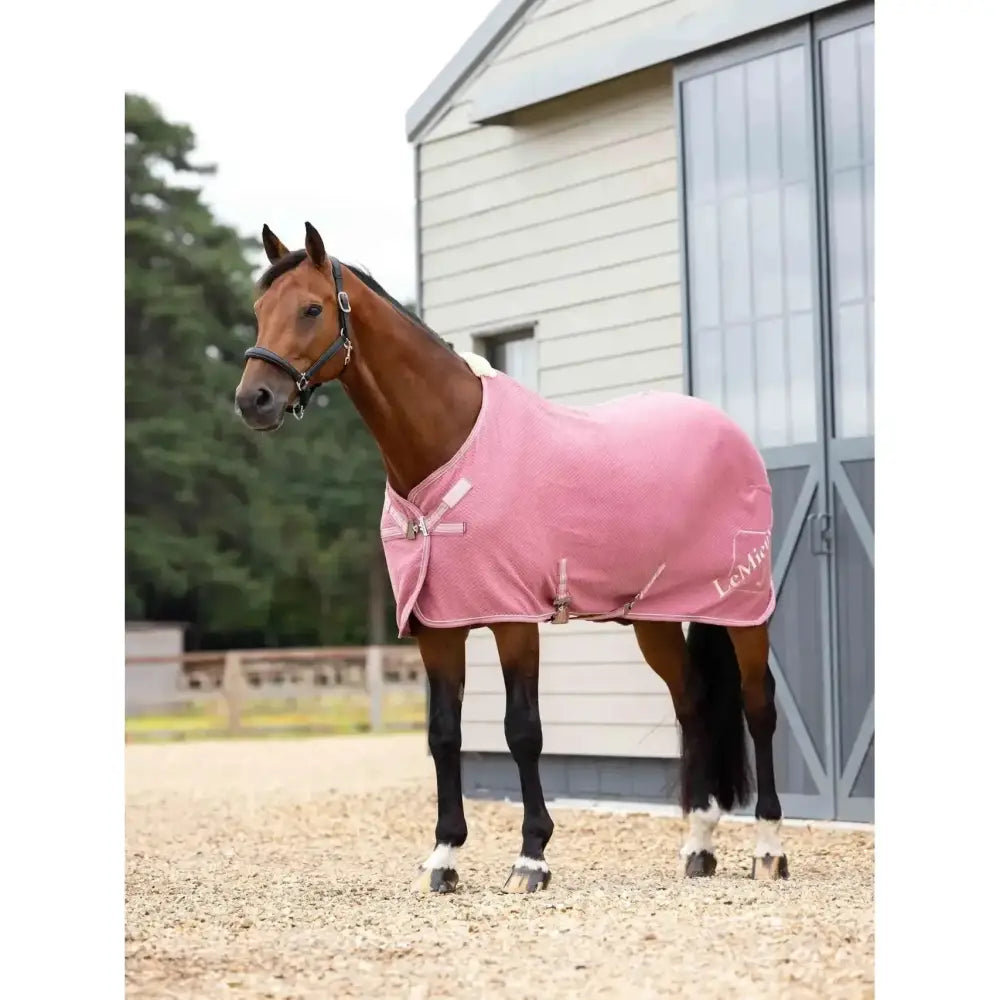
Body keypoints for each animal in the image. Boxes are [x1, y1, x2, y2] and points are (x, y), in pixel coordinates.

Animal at [235, 221, 788, 893]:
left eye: (312, 309)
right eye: (260, 309)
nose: (254, 400)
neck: (449, 445)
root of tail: (730, 433)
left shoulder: (514, 620)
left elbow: (522, 731)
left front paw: (531, 857)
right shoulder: (437, 628)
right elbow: (443, 734)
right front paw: (444, 857)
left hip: (744, 610)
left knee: (759, 707)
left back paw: (768, 848)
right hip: (653, 619)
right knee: (694, 704)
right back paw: (699, 845)